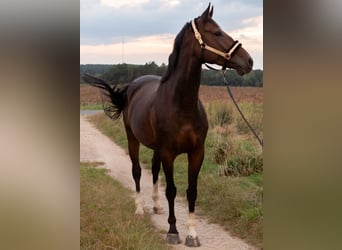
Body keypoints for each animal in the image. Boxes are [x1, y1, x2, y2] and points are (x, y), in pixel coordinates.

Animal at [82, 3, 252, 246]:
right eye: (217, 32)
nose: (249, 61)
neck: (181, 104)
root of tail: (133, 85)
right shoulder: (169, 153)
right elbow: (171, 189)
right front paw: (173, 231)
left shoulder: (196, 153)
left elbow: (191, 191)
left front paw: (192, 234)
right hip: (133, 139)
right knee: (137, 171)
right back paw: (139, 208)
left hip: (156, 148)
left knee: (153, 170)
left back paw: (156, 205)